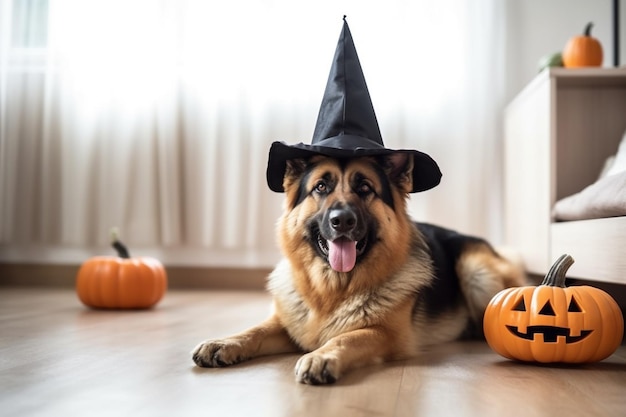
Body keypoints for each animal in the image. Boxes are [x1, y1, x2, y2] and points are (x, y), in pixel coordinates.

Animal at [193, 153, 524, 384]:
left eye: (364, 188)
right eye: (321, 187)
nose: (342, 220)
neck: (331, 291)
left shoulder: (385, 334)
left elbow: (348, 336)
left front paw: (321, 356)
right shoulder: (289, 326)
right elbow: (255, 330)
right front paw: (224, 342)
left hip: (475, 271)